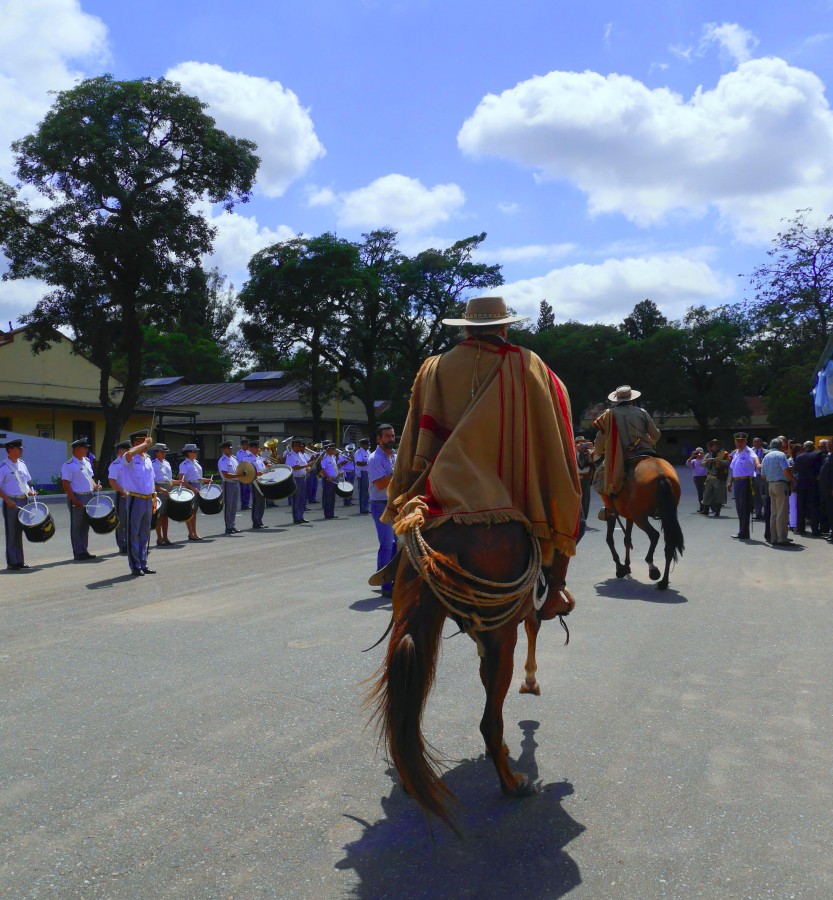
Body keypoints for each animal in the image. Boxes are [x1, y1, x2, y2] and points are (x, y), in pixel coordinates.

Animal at [368, 520, 576, 828]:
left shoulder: (483, 639)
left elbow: (486, 679)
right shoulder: (510, 624)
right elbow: (533, 625)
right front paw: (530, 680)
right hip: (502, 631)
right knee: (489, 722)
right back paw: (512, 784)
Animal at [604, 458, 684, 592]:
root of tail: (662, 475)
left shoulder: (611, 510)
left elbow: (610, 539)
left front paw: (620, 567)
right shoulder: (629, 514)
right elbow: (627, 539)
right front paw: (626, 566)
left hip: (640, 517)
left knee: (654, 535)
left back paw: (653, 569)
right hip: (666, 514)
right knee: (669, 544)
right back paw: (664, 581)